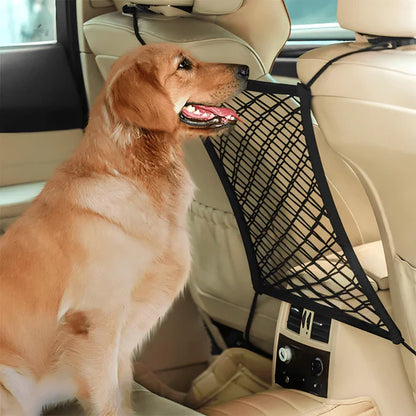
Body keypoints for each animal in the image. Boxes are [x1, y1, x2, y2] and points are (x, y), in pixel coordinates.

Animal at [0, 43, 248, 416]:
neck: (134, 171)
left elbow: (124, 393)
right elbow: (106, 401)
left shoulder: (122, 343)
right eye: (183, 65)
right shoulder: (96, 325)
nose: (246, 69)